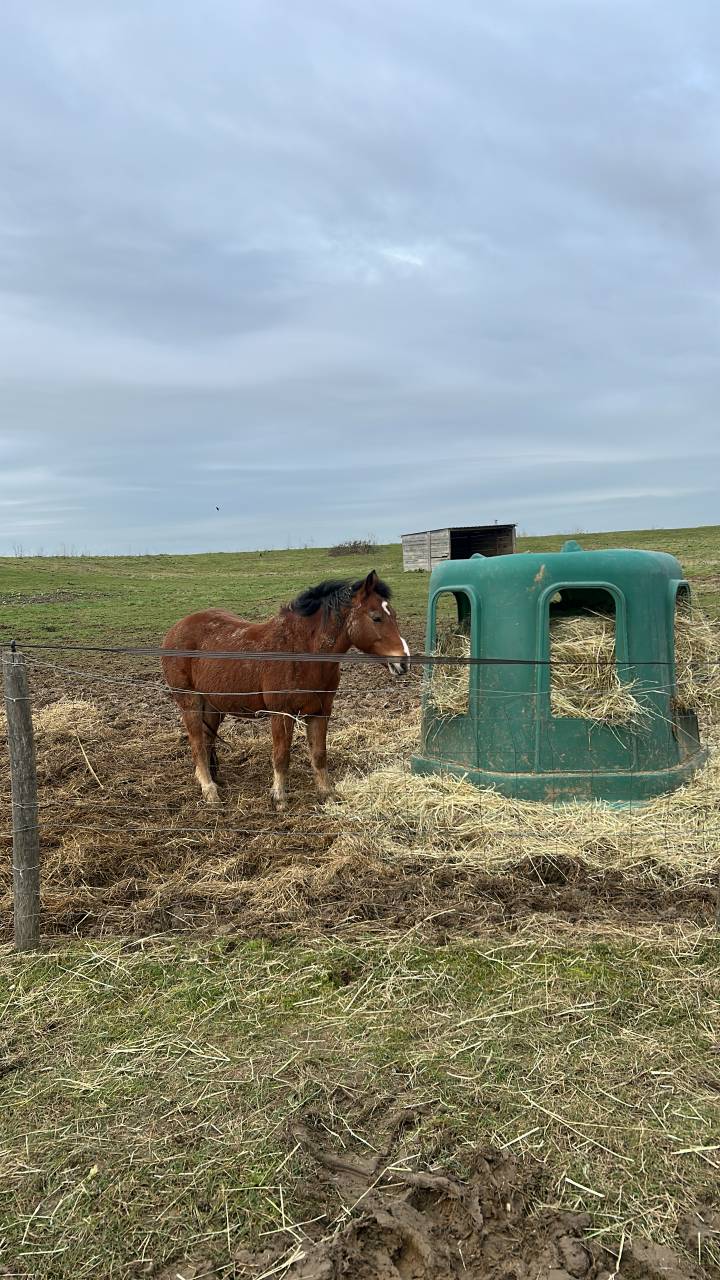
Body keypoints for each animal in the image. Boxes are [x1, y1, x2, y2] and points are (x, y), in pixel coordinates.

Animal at [160, 570, 410, 809]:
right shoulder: (281, 714)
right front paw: (279, 798)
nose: (403, 662)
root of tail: (175, 629)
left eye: (394, 615)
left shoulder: (320, 712)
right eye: (376, 617)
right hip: (190, 703)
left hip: (213, 706)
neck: (301, 653)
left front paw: (327, 794)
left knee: (207, 740)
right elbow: (281, 755)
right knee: (197, 745)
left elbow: (319, 755)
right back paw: (210, 791)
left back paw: (215, 781)